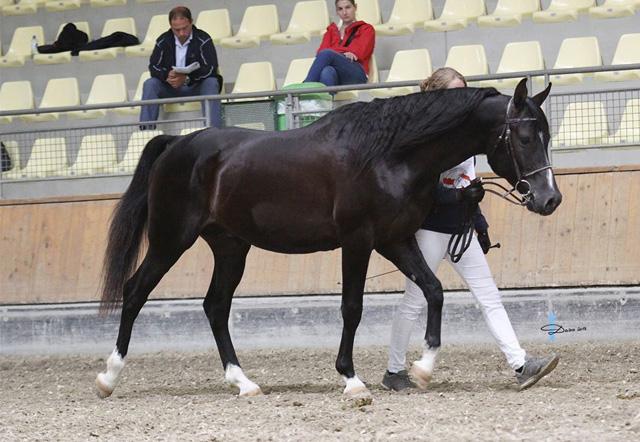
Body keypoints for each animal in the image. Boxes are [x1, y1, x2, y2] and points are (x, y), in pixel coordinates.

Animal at [95, 78, 561, 399]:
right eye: (524, 137)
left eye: (548, 135)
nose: (550, 198)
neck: (389, 154)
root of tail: (177, 143)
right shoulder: (357, 241)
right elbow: (352, 308)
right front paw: (352, 381)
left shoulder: (394, 240)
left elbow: (433, 291)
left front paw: (423, 368)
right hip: (170, 239)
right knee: (135, 292)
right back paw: (108, 378)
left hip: (230, 246)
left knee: (215, 307)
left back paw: (244, 383)